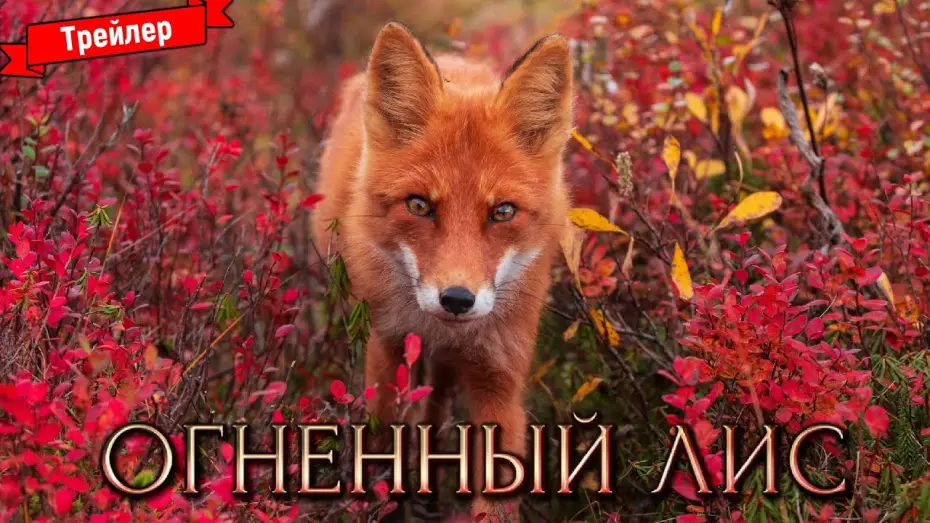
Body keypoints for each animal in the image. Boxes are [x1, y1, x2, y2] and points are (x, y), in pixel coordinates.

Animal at [311, 22, 573, 519]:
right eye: (419, 205)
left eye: (503, 212)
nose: (456, 299)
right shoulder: (387, 351)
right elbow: (382, 450)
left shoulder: (499, 379)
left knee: (436, 405)